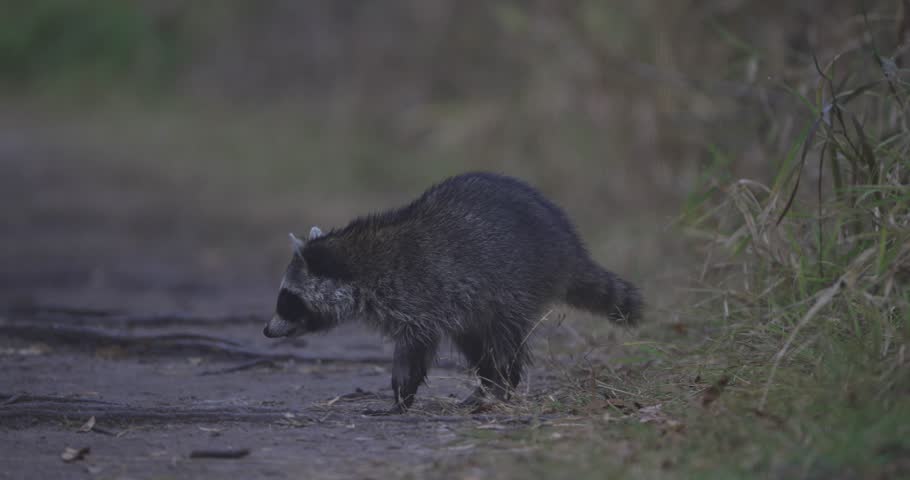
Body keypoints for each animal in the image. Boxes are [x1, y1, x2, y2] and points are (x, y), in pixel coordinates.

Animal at [263, 172, 642, 413]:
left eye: (286, 298)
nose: (266, 330)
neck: (357, 263)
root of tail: (569, 246)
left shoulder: (418, 298)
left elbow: (414, 351)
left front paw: (400, 397)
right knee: (476, 342)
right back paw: (489, 382)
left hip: (515, 285)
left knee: (504, 341)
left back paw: (501, 383)